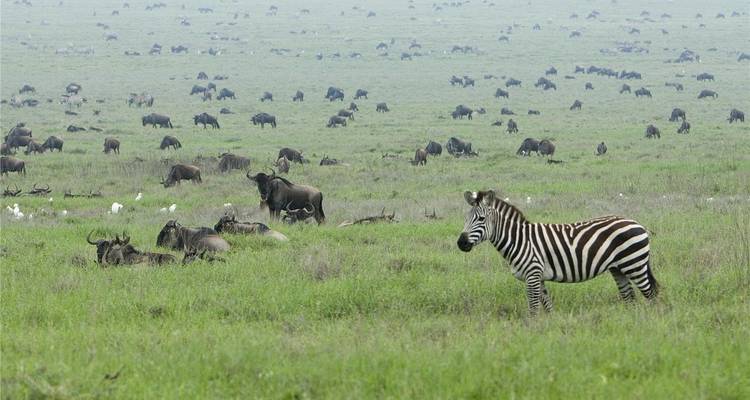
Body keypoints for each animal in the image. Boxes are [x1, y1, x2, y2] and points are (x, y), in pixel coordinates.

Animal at [457, 190, 658, 315]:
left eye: (481, 219)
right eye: (466, 218)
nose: (461, 243)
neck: (519, 240)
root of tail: (637, 223)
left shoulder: (532, 274)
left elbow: (533, 308)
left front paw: (531, 330)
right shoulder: (538, 277)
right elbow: (547, 306)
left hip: (634, 264)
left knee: (651, 295)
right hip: (619, 268)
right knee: (630, 298)